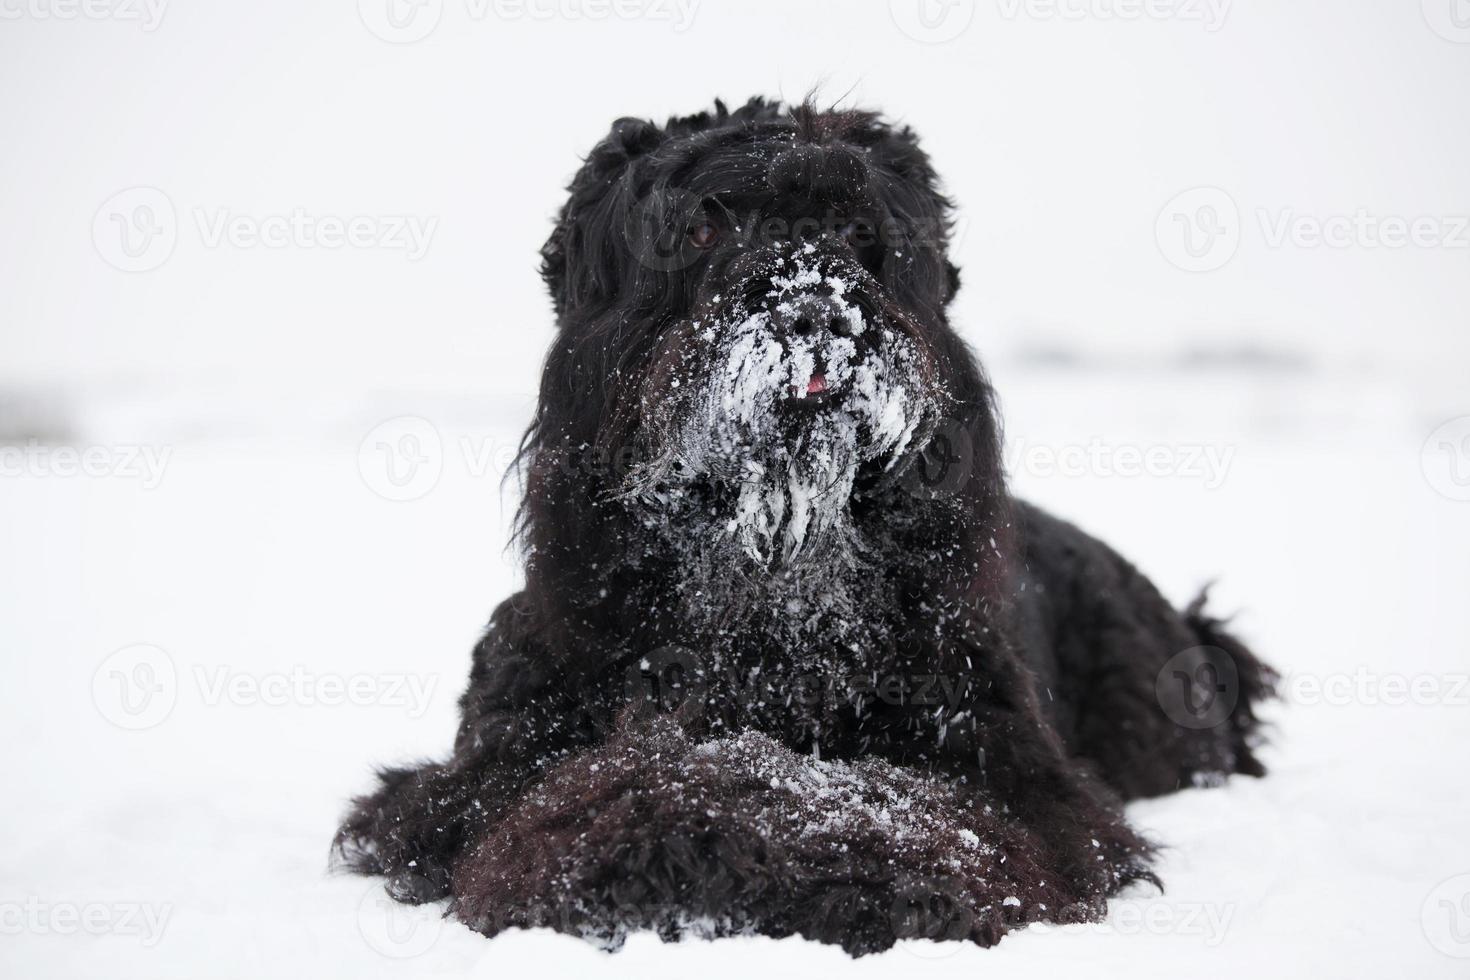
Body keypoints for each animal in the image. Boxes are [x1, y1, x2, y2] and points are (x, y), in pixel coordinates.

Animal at [336, 97, 1275, 952]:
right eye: (701, 228)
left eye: (861, 233)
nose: (816, 309)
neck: (773, 593)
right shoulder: (474, 778)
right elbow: (606, 785)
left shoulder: (1021, 782)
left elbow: (892, 806)